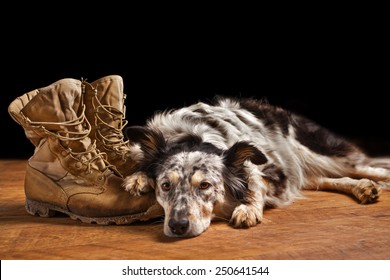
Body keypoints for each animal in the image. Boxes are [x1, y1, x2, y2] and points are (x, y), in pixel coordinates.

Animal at [122, 95, 390, 236]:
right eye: (165, 186)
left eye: (205, 185)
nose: (178, 226)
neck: (194, 137)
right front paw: (138, 177)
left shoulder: (274, 171)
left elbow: (255, 184)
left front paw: (248, 209)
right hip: (302, 168)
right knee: (324, 178)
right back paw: (363, 188)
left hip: (317, 153)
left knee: (370, 168)